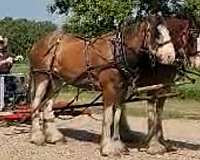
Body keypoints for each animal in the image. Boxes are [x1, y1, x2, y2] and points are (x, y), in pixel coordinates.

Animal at [28, 15, 175, 156]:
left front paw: (118, 145)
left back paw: (54, 137)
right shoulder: (109, 88)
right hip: (41, 76)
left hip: (56, 81)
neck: (116, 52)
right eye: (157, 34)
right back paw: (36, 137)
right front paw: (107, 148)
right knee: (36, 104)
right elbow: (109, 117)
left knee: (47, 105)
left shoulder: (121, 90)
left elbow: (117, 117)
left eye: (168, 32)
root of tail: (38, 43)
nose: (171, 57)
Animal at [119, 15, 200, 155]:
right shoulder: (152, 89)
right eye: (194, 35)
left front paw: (162, 142)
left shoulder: (164, 89)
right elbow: (152, 113)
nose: (199, 62)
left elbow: (159, 113)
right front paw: (153, 144)